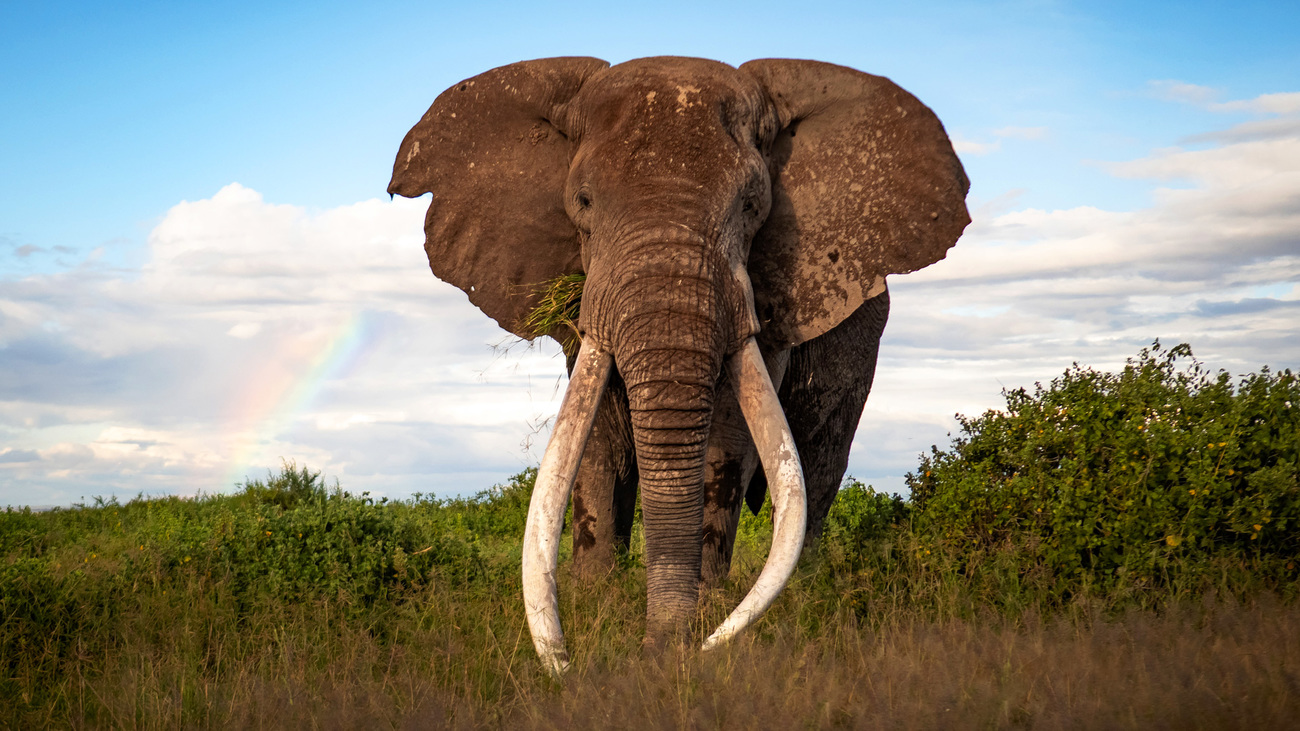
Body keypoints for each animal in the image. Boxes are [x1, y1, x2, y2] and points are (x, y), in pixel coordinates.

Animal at [388, 56, 969, 673]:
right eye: (584, 202)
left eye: (751, 206)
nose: (658, 657)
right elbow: (594, 435)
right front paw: (594, 604)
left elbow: (728, 439)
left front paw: (704, 618)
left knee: (818, 460)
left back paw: (803, 595)